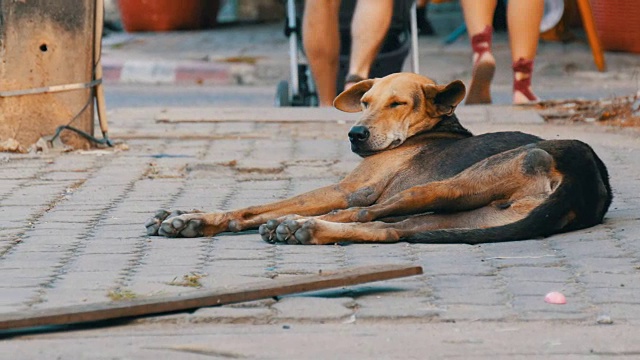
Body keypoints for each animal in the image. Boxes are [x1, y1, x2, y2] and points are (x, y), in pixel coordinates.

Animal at [144, 72, 608, 245]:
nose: (356, 134)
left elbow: (255, 206)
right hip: (463, 218)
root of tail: (588, 183)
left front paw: (198, 218)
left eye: (398, 103)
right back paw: (309, 230)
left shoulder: (347, 189)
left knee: (366, 215)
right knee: (390, 231)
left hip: (443, 186)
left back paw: (299, 225)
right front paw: (185, 215)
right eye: (365, 101)